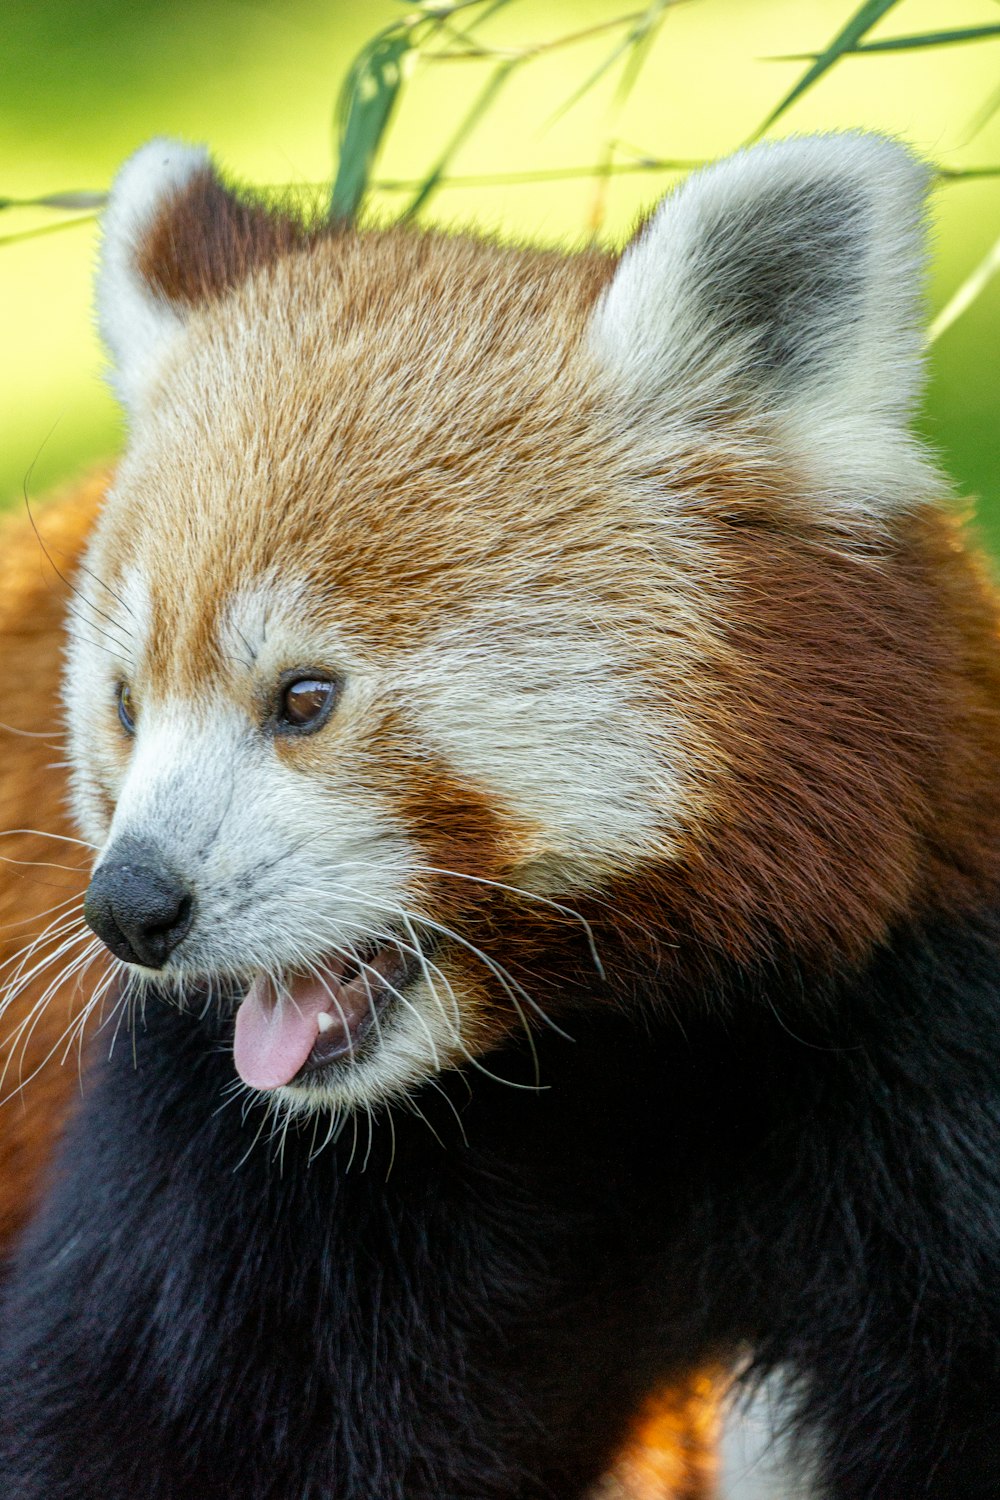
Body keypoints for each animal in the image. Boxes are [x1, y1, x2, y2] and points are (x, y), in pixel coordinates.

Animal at [0, 132, 995, 1500]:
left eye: (303, 699)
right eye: (126, 706)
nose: (130, 908)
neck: (602, 1049)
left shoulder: (909, 1029)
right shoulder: (253, 1180)